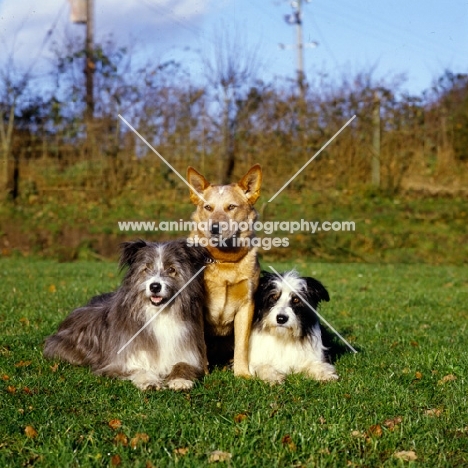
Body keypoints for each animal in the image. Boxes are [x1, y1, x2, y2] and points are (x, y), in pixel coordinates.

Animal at [44, 239, 209, 390]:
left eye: (171, 269)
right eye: (146, 268)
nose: (155, 286)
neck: (158, 313)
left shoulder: (188, 351)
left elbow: (183, 364)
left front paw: (180, 379)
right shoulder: (119, 361)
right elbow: (139, 368)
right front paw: (149, 381)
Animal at [187, 165, 264, 376]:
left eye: (231, 207)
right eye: (208, 207)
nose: (215, 228)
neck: (225, 261)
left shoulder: (247, 305)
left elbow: (242, 345)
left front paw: (242, 374)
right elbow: (199, 343)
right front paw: (203, 373)